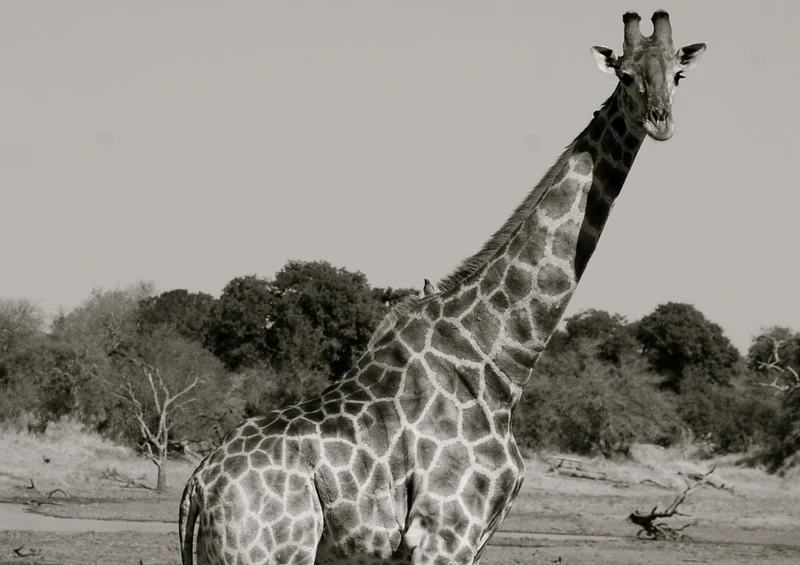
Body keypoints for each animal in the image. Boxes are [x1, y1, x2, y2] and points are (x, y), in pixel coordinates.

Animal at [179, 11, 706, 565]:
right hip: (269, 553)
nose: (661, 120)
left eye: (678, 74)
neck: (499, 358)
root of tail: (197, 487)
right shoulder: (444, 531)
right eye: (624, 75)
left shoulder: (469, 537)